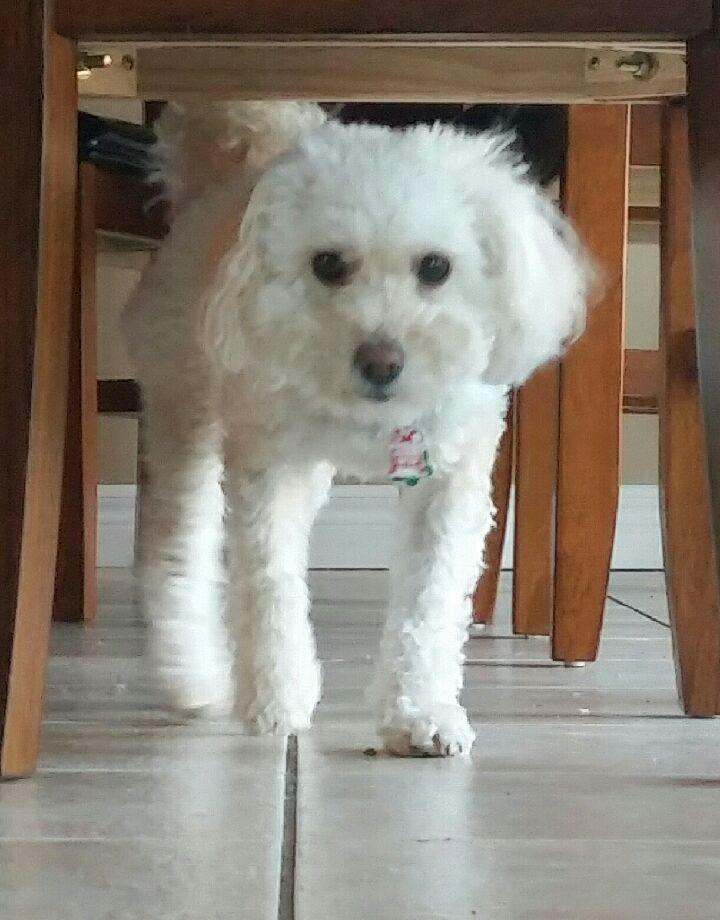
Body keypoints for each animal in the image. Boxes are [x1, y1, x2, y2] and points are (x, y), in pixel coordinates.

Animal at [124, 102, 592, 757]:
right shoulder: (269, 467)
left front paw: (419, 714)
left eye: (436, 267)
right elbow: (270, 585)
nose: (381, 362)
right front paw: (276, 702)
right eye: (327, 264)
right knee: (177, 552)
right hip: (183, 413)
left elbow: (429, 602)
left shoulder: (448, 484)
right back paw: (191, 676)